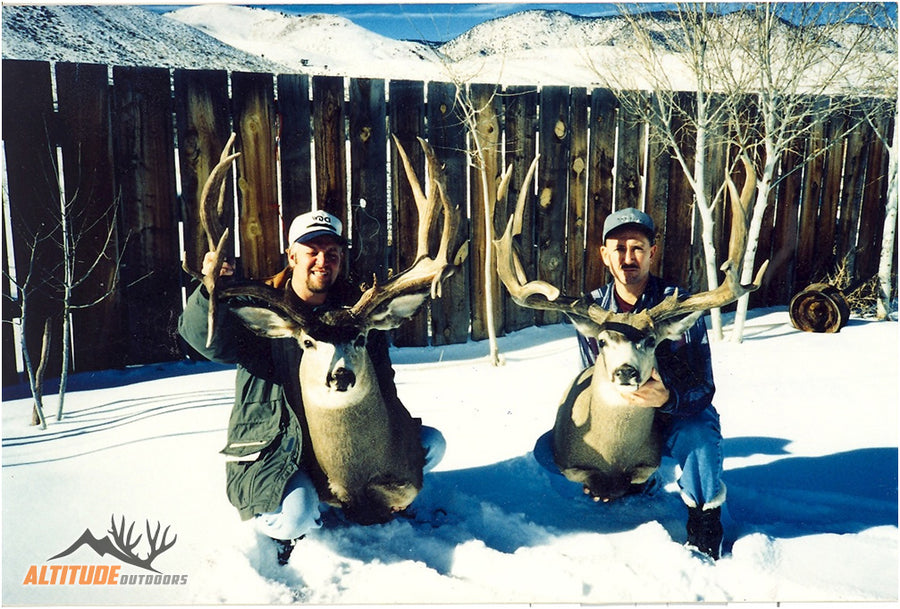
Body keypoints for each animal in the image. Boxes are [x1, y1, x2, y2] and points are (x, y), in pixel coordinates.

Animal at [493, 155, 768, 503]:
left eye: (651, 341)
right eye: (603, 341)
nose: (626, 371)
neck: (612, 453)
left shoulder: (648, 459)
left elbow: (642, 474)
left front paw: (634, 485)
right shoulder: (565, 460)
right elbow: (586, 478)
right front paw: (603, 488)